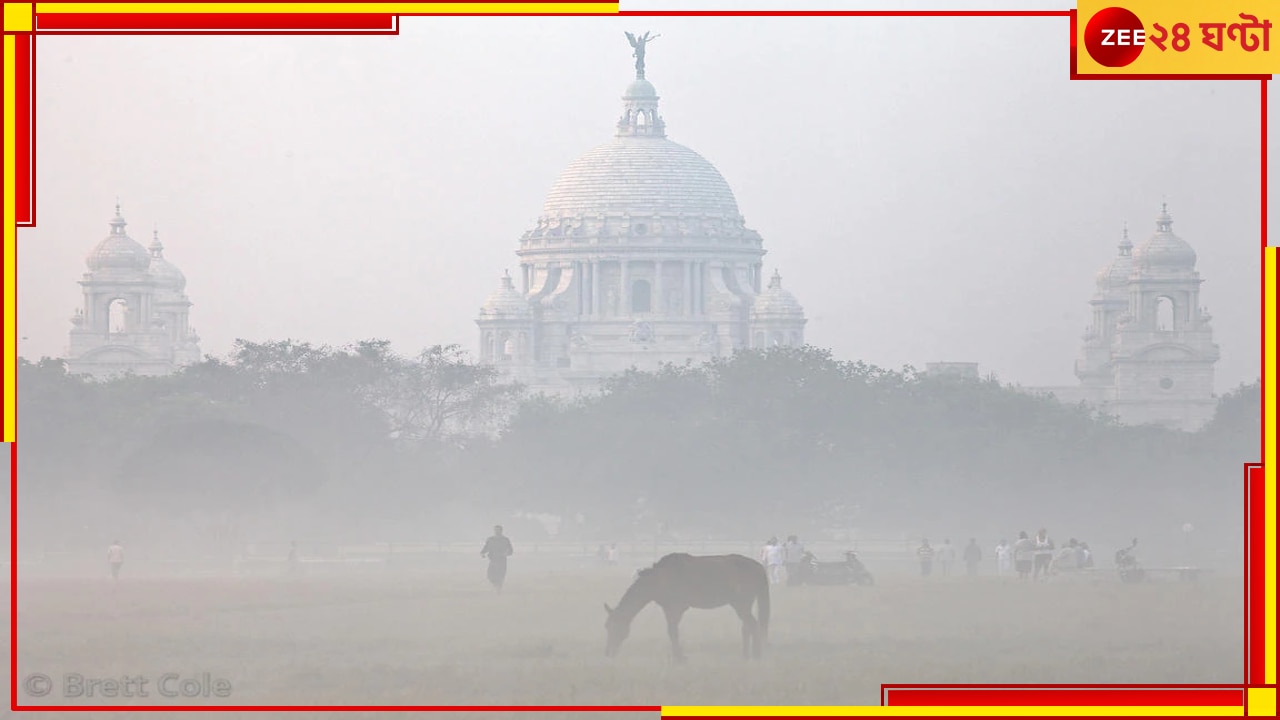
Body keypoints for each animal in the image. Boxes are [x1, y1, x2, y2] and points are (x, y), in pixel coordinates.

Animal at [601, 550, 768, 661]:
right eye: (606, 626)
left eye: (613, 627)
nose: (608, 653)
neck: (659, 579)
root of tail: (758, 567)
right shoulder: (669, 609)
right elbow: (672, 632)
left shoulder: (675, 609)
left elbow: (673, 632)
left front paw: (679, 657)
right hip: (744, 606)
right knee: (747, 627)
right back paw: (746, 655)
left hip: (741, 605)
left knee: (753, 626)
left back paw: (757, 655)